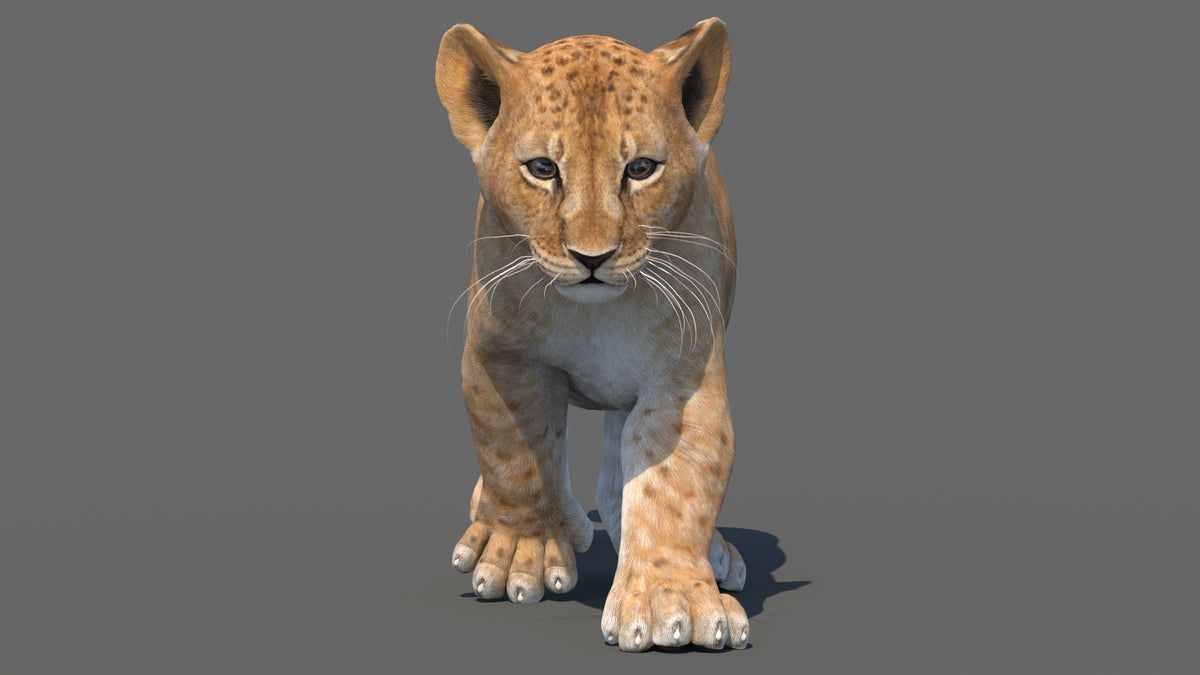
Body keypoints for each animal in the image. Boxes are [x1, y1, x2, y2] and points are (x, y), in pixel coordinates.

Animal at [435, 18, 747, 651]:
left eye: (641, 169)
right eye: (542, 169)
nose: (592, 256)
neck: (597, 317)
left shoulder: (684, 377)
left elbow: (673, 480)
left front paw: (672, 603)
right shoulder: (499, 355)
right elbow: (514, 449)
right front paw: (519, 553)